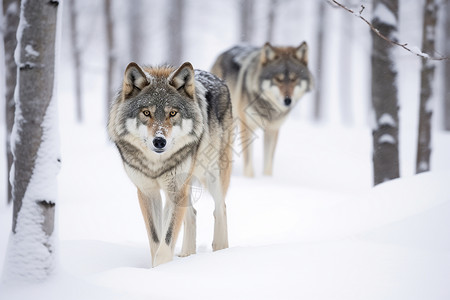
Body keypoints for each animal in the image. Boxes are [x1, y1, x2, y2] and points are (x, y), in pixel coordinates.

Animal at [108, 61, 234, 268]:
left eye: (172, 113)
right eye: (146, 113)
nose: (159, 141)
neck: (156, 164)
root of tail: (218, 79)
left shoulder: (175, 190)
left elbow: (166, 241)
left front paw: (163, 270)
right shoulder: (148, 192)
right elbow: (156, 240)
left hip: (212, 174)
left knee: (220, 208)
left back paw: (221, 251)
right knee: (192, 215)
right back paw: (187, 256)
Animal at [211, 42, 312, 178]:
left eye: (293, 79)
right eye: (278, 79)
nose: (288, 100)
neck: (268, 108)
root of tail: (222, 54)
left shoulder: (272, 130)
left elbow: (268, 163)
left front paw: (267, 179)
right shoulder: (247, 127)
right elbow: (249, 163)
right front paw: (250, 179)